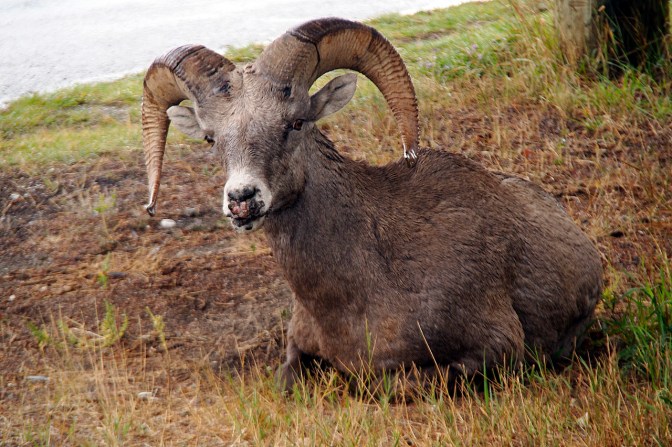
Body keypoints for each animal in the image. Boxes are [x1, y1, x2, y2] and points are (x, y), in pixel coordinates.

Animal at [140, 17, 603, 390]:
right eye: (210, 138)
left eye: (295, 122)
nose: (241, 200)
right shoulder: (297, 349)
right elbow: (287, 380)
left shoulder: (494, 350)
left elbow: (387, 383)